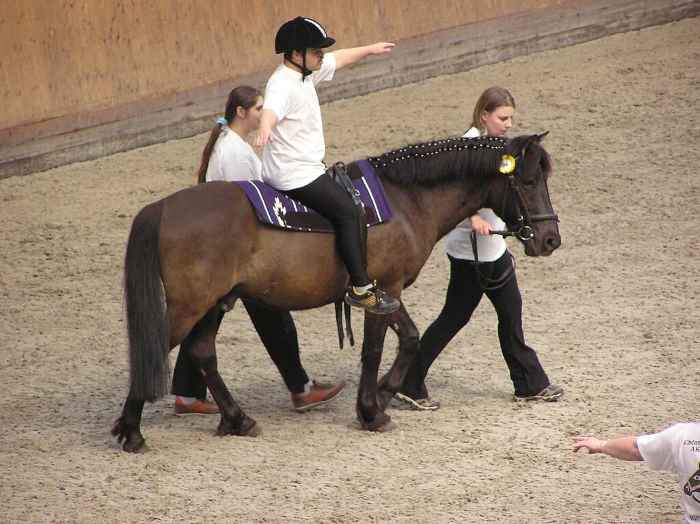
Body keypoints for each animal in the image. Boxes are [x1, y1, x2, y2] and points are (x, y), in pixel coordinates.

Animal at [112, 133, 560, 452]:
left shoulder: (386, 292)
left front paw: (381, 397)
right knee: (154, 350)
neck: (405, 199)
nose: (550, 239)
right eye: (528, 180)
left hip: (215, 303)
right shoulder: (383, 289)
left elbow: (409, 339)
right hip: (191, 306)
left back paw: (237, 419)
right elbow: (379, 349)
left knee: (203, 352)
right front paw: (373, 408)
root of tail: (162, 208)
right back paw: (131, 431)